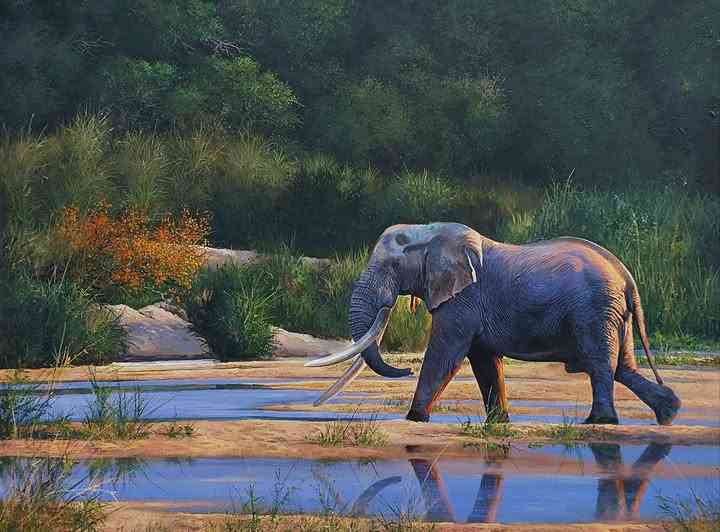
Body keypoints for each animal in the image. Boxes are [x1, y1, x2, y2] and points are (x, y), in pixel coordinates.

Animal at [306, 223, 681, 426]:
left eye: (393, 266)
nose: (404, 370)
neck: (431, 231)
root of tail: (627, 277)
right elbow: (484, 360)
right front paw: (499, 422)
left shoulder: (464, 299)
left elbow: (446, 354)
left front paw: (414, 419)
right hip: (611, 312)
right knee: (623, 366)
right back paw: (669, 413)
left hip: (594, 310)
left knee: (601, 363)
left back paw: (598, 422)